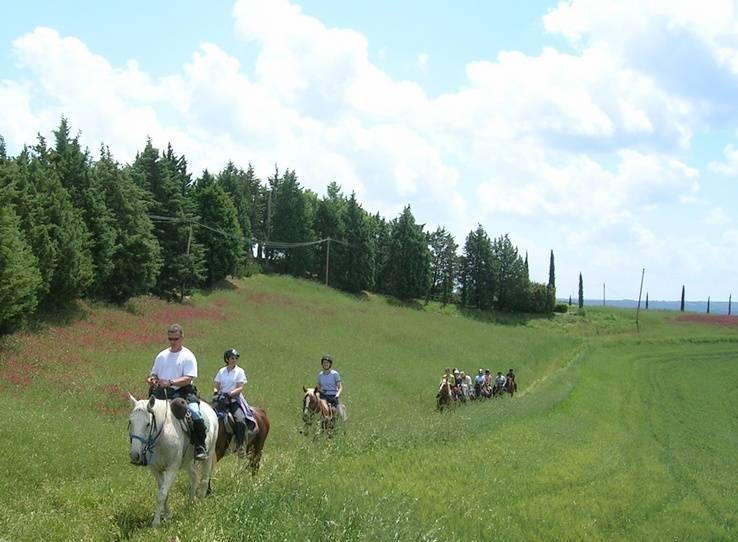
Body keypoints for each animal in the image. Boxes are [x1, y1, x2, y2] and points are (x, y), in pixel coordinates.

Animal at [126, 396, 217, 528]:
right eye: (130, 422)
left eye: (148, 424)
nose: (134, 455)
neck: (163, 436)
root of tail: (210, 408)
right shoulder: (156, 469)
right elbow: (164, 492)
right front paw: (168, 516)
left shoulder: (172, 468)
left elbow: (162, 494)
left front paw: (156, 523)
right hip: (187, 461)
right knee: (194, 477)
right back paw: (190, 503)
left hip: (209, 455)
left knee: (204, 480)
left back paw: (201, 502)